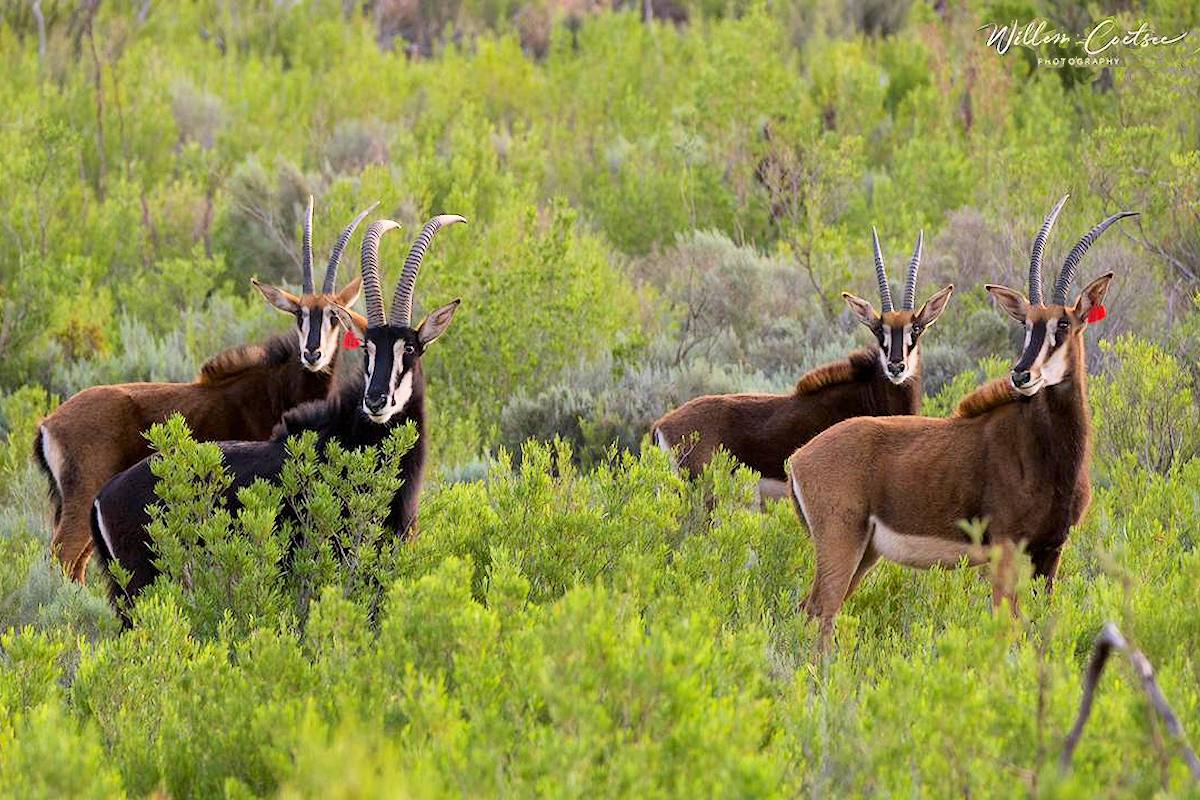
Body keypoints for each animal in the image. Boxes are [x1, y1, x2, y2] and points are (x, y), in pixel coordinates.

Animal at [35, 199, 373, 582]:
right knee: (62, 557)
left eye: (334, 316)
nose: (312, 354)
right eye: (299, 315)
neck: (275, 388)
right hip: (82, 500)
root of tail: (49, 424)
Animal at [786, 196, 1135, 637]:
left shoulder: (1050, 551)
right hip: (841, 542)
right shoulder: (1006, 549)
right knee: (823, 611)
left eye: (1064, 324)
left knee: (810, 609)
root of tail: (799, 458)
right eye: (1026, 323)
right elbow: (1008, 628)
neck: (1050, 453)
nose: (1021, 375)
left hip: (865, 552)